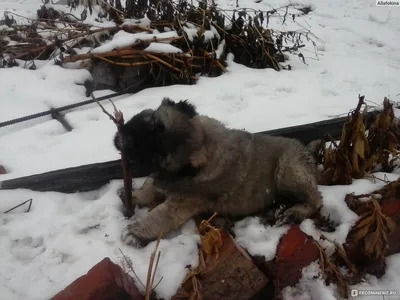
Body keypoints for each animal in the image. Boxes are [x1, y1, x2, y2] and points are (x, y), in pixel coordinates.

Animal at [112, 97, 322, 247]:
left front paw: (136, 232)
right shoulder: (161, 178)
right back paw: (281, 207)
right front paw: (133, 195)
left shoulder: (182, 202)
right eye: (152, 122)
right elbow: (150, 186)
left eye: (158, 155)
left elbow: (159, 215)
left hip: (289, 171)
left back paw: (292, 213)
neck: (204, 141)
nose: (125, 140)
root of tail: (306, 150)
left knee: (315, 200)